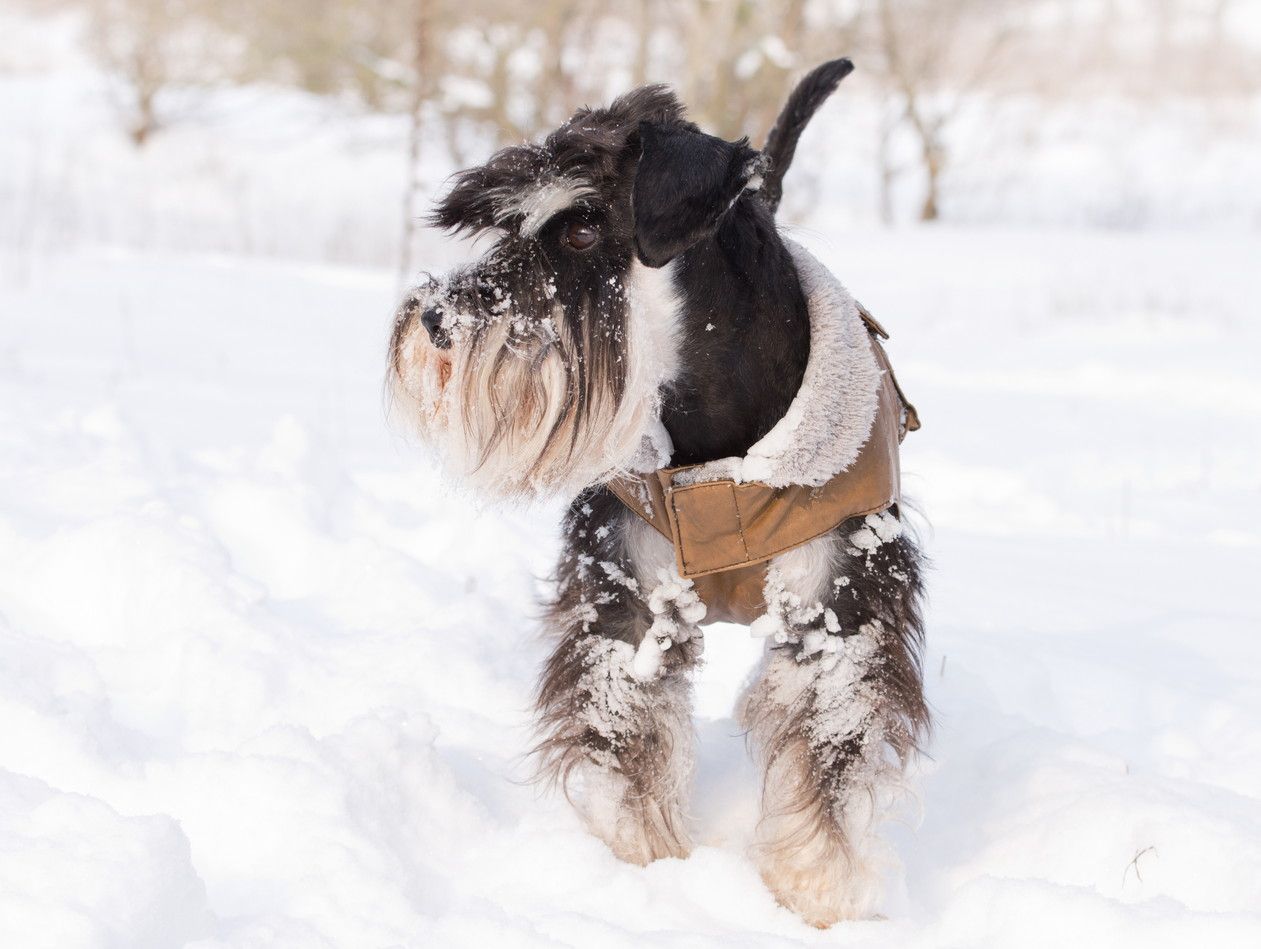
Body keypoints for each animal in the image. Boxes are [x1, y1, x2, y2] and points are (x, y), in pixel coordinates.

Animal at [388, 61, 933, 927]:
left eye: (581, 230)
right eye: (505, 228)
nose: (435, 320)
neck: (713, 434)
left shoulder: (836, 610)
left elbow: (824, 759)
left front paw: (815, 894)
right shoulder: (629, 601)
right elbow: (630, 744)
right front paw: (639, 866)